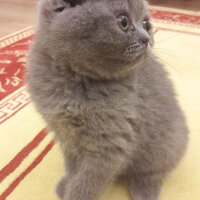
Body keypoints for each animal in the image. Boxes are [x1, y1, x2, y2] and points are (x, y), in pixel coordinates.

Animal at [26, 0, 188, 200]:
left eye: (146, 24)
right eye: (123, 21)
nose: (146, 39)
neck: (74, 79)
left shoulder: (110, 142)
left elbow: (87, 182)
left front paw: (73, 192)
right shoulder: (65, 134)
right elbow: (73, 166)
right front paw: (67, 184)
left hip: (167, 145)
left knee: (154, 171)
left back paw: (144, 190)